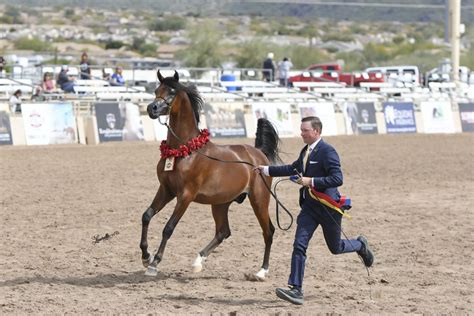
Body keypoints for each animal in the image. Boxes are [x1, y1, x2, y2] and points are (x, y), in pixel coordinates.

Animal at [141, 70, 282, 280]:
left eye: (172, 91)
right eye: (156, 90)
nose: (152, 108)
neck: (183, 150)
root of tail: (258, 154)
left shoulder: (185, 195)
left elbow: (169, 227)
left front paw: (154, 263)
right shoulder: (166, 190)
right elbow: (147, 216)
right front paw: (145, 256)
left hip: (259, 199)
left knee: (268, 231)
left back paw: (262, 271)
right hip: (220, 203)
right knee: (223, 231)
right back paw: (198, 262)